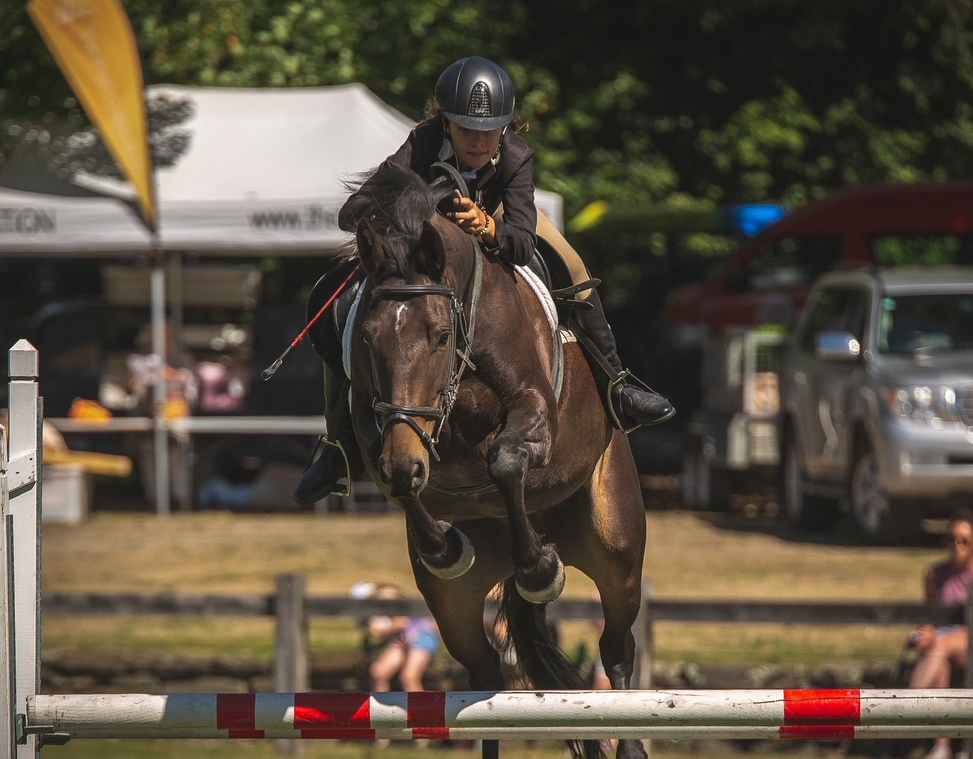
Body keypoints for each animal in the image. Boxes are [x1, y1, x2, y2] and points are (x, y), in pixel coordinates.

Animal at [325, 163, 648, 759]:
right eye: (368, 339)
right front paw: (447, 547)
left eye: (439, 336)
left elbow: (505, 463)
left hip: (616, 551)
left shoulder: (534, 409)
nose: (409, 458)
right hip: (452, 605)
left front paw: (540, 570)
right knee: (485, 678)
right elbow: (401, 482)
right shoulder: (383, 431)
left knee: (616, 649)